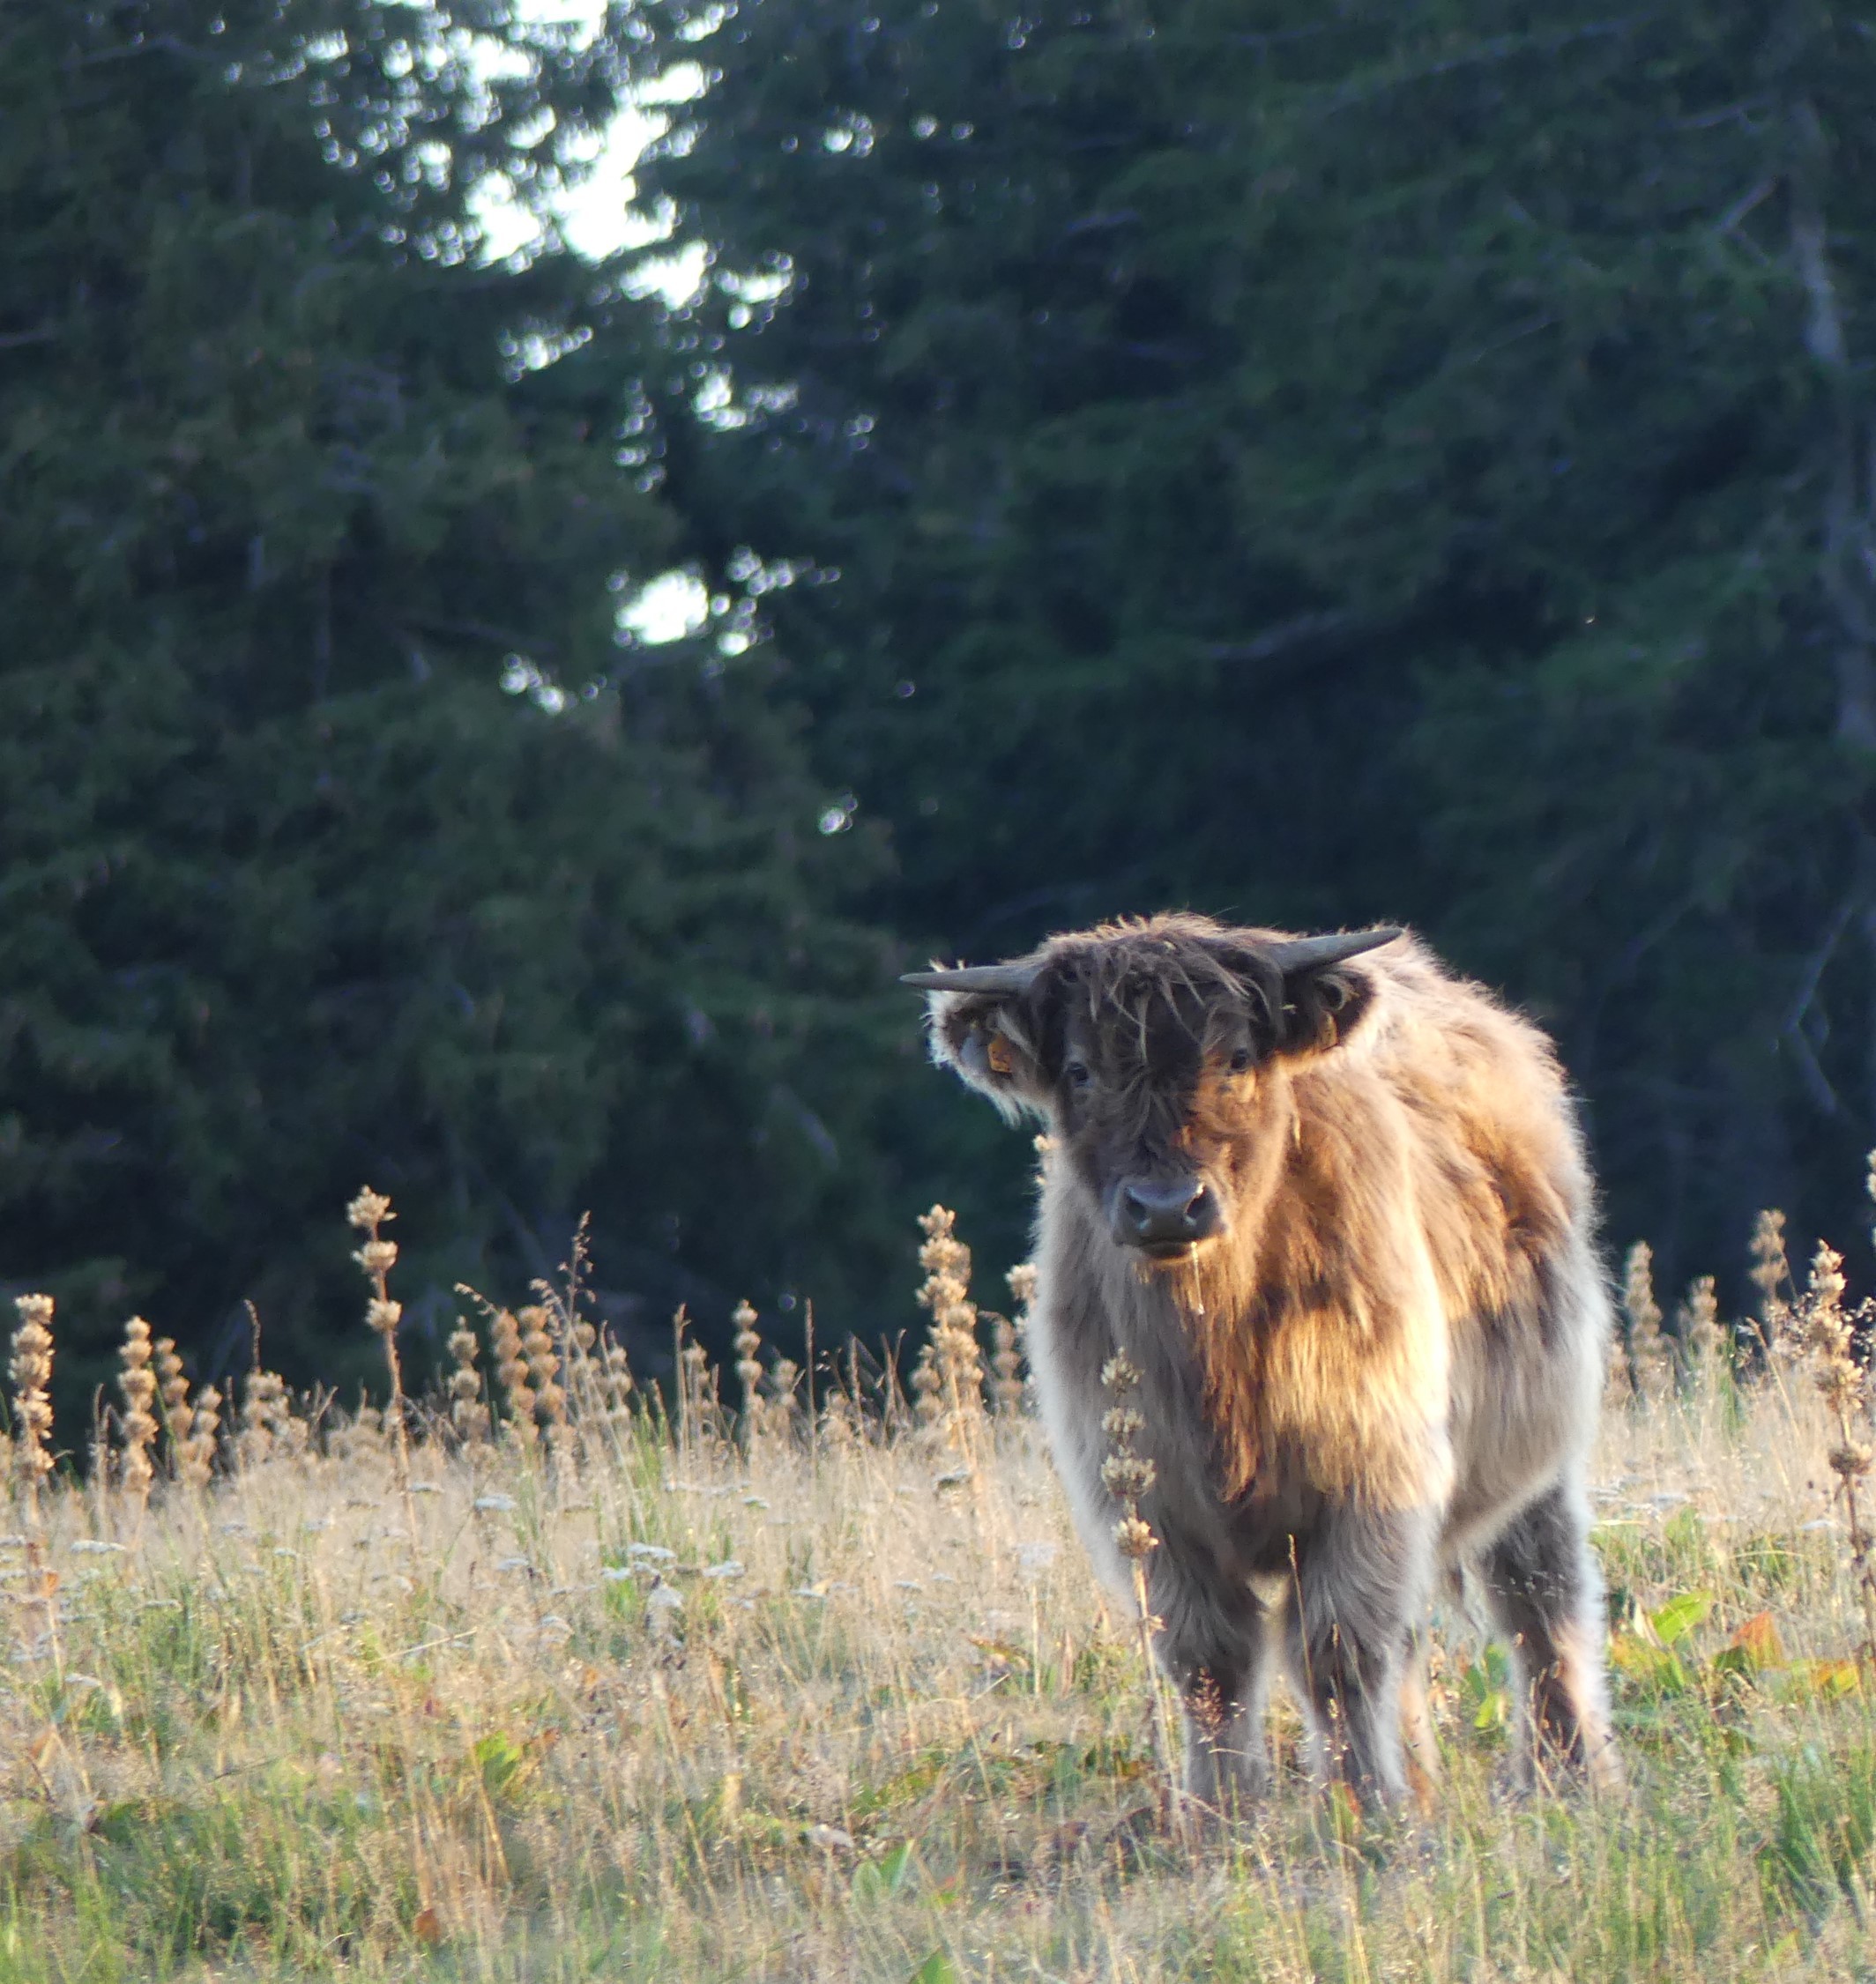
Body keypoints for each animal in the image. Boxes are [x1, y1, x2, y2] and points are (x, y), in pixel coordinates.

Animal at [904, 920, 1612, 1809]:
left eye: (1237, 1057)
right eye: (1080, 1069)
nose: (1166, 1206)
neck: (1218, 1351)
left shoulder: (1374, 1475)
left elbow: (1337, 1648)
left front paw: (1365, 1809)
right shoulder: (1147, 1501)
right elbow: (1210, 1658)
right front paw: (1222, 1813)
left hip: (1539, 1454)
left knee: (1541, 1599)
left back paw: (1568, 1772)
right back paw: (1421, 1777)